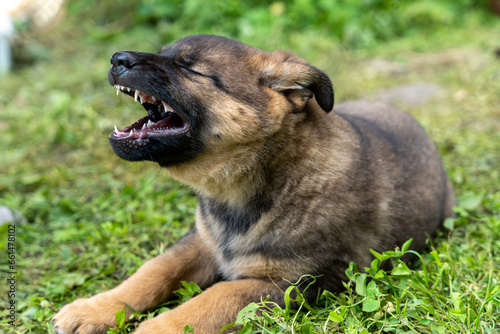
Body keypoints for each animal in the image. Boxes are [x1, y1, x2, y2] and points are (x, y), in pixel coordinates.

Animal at [52, 34, 456, 334]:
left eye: (190, 68)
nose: (116, 58)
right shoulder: (201, 242)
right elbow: (152, 271)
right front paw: (92, 309)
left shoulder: (286, 283)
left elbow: (211, 299)